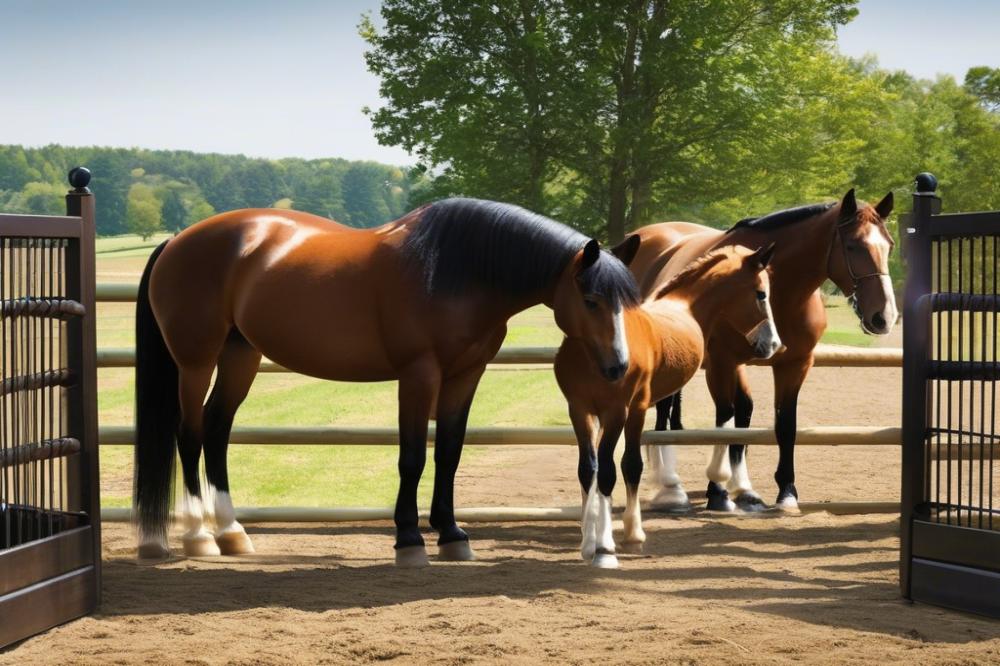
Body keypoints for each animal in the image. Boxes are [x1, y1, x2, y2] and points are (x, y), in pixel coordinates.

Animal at [131, 197, 640, 564]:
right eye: (592, 299)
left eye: (628, 299)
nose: (619, 366)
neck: (456, 270)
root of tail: (177, 241)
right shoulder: (419, 374)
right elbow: (412, 457)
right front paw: (409, 538)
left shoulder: (465, 376)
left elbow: (449, 454)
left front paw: (452, 535)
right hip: (195, 361)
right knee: (190, 434)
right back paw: (199, 536)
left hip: (241, 355)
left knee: (217, 431)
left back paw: (232, 533)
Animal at [556, 241, 780, 564]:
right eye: (761, 293)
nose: (773, 344)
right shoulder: (582, 410)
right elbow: (593, 469)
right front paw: (595, 543)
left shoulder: (626, 411)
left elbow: (625, 466)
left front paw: (622, 535)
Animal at [628, 189, 896, 510]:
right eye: (853, 245)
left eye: (890, 245)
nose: (884, 316)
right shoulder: (721, 363)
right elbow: (724, 419)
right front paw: (718, 492)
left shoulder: (794, 364)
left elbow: (784, 424)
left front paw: (786, 491)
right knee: (666, 413)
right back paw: (671, 485)